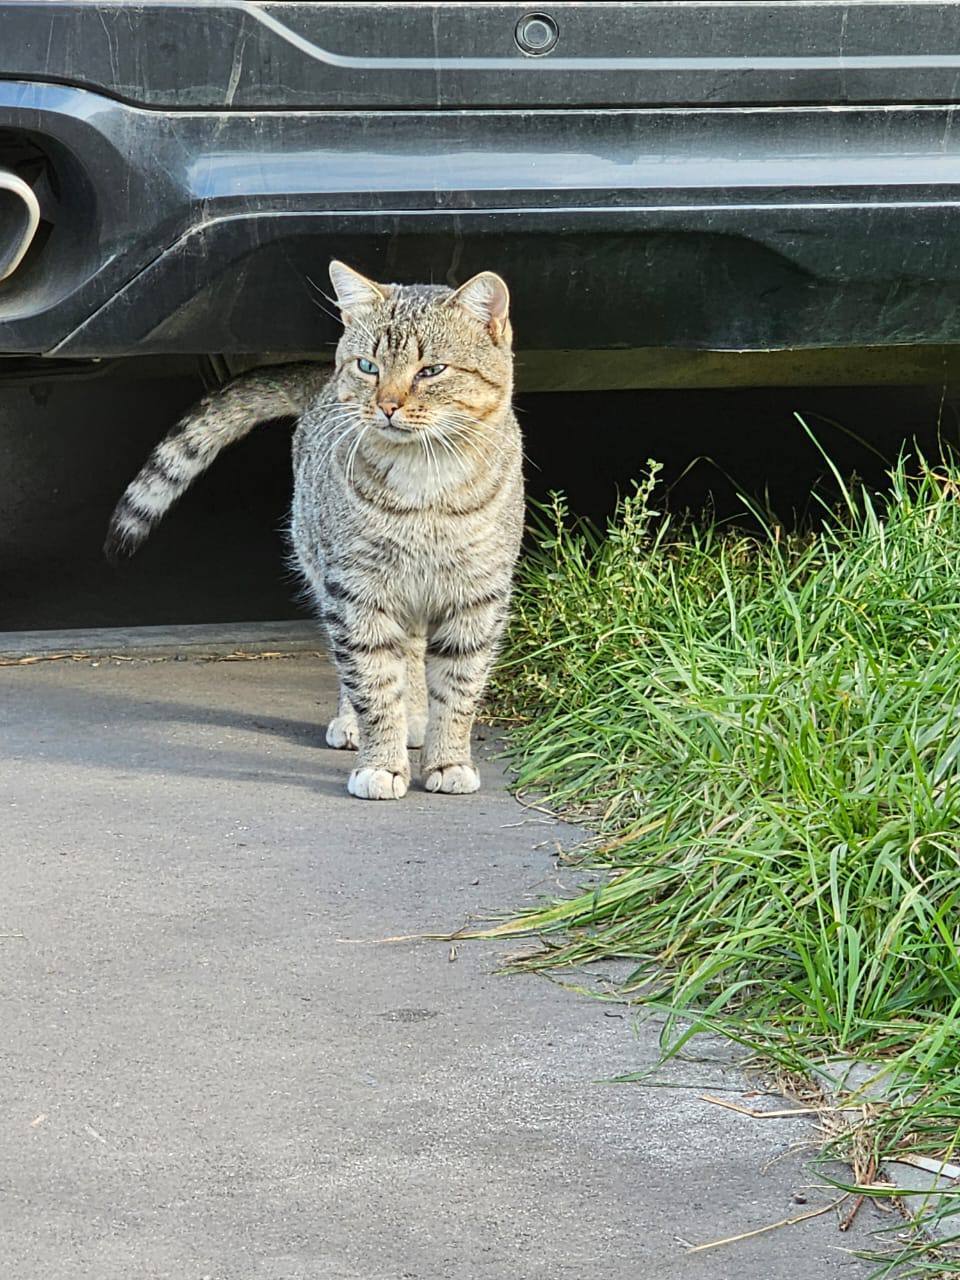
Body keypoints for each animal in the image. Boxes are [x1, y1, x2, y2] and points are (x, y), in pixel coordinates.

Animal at [104, 259, 527, 798]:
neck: (424, 483)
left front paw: (448, 759)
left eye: (431, 370)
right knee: (373, 660)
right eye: (368, 367)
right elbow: (372, 680)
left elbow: (459, 687)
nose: (387, 405)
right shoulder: (356, 589)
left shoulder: (478, 595)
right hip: (327, 571)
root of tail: (321, 385)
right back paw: (365, 720)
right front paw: (382, 762)